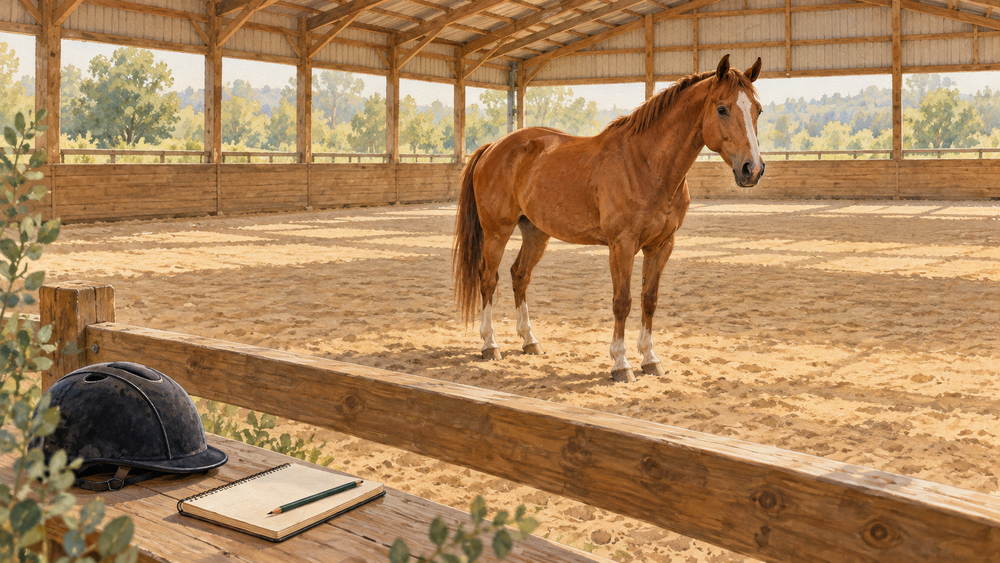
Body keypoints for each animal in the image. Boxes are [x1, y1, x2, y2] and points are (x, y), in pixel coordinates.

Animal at [453, 54, 765, 382]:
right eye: (722, 109)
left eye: (757, 109)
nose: (752, 169)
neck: (646, 164)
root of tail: (492, 148)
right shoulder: (622, 245)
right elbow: (622, 302)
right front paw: (621, 363)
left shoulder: (662, 245)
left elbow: (649, 299)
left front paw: (650, 359)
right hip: (496, 232)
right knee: (488, 279)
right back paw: (490, 344)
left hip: (536, 233)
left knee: (519, 276)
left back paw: (529, 341)